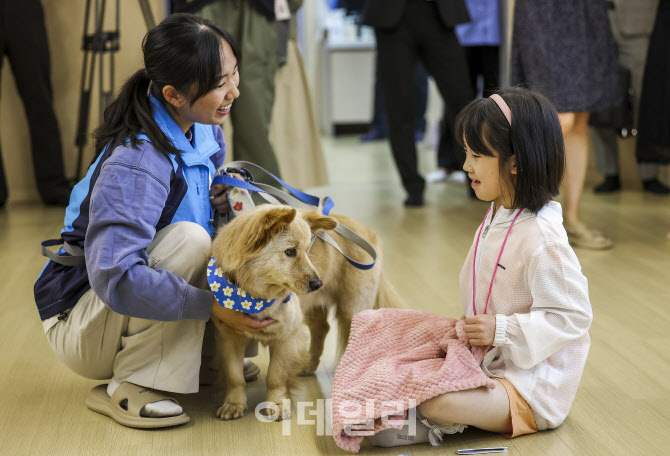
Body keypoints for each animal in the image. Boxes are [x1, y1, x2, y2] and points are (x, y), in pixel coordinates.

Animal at [211, 204, 338, 420]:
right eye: (290, 251)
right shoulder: (228, 338)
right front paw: (234, 404)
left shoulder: (287, 337)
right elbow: (235, 377)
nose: (318, 284)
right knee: (321, 328)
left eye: (307, 250)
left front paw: (277, 403)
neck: (255, 297)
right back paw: (309, 365)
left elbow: (275, 375)